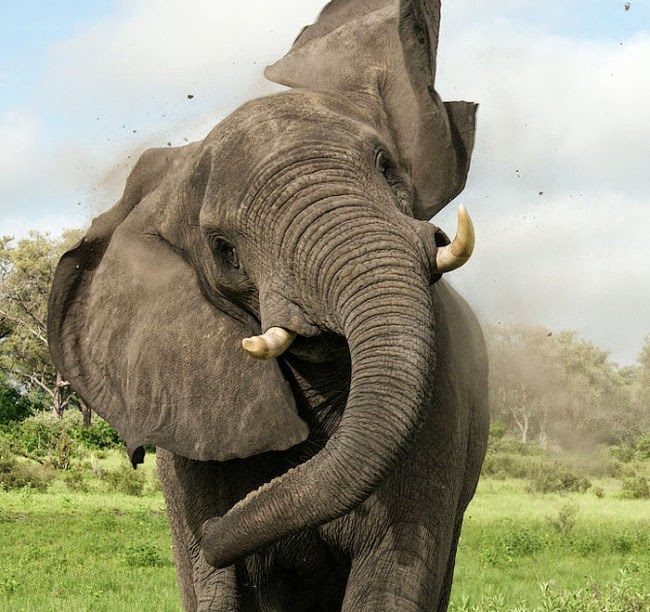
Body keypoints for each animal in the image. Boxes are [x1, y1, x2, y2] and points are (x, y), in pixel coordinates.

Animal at [48, 1, 486, 612]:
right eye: (224, 250)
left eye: (386, 166)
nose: (214, 532)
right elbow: (216, 591)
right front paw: (214, 547)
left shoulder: (442, 397)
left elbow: (393, 576)